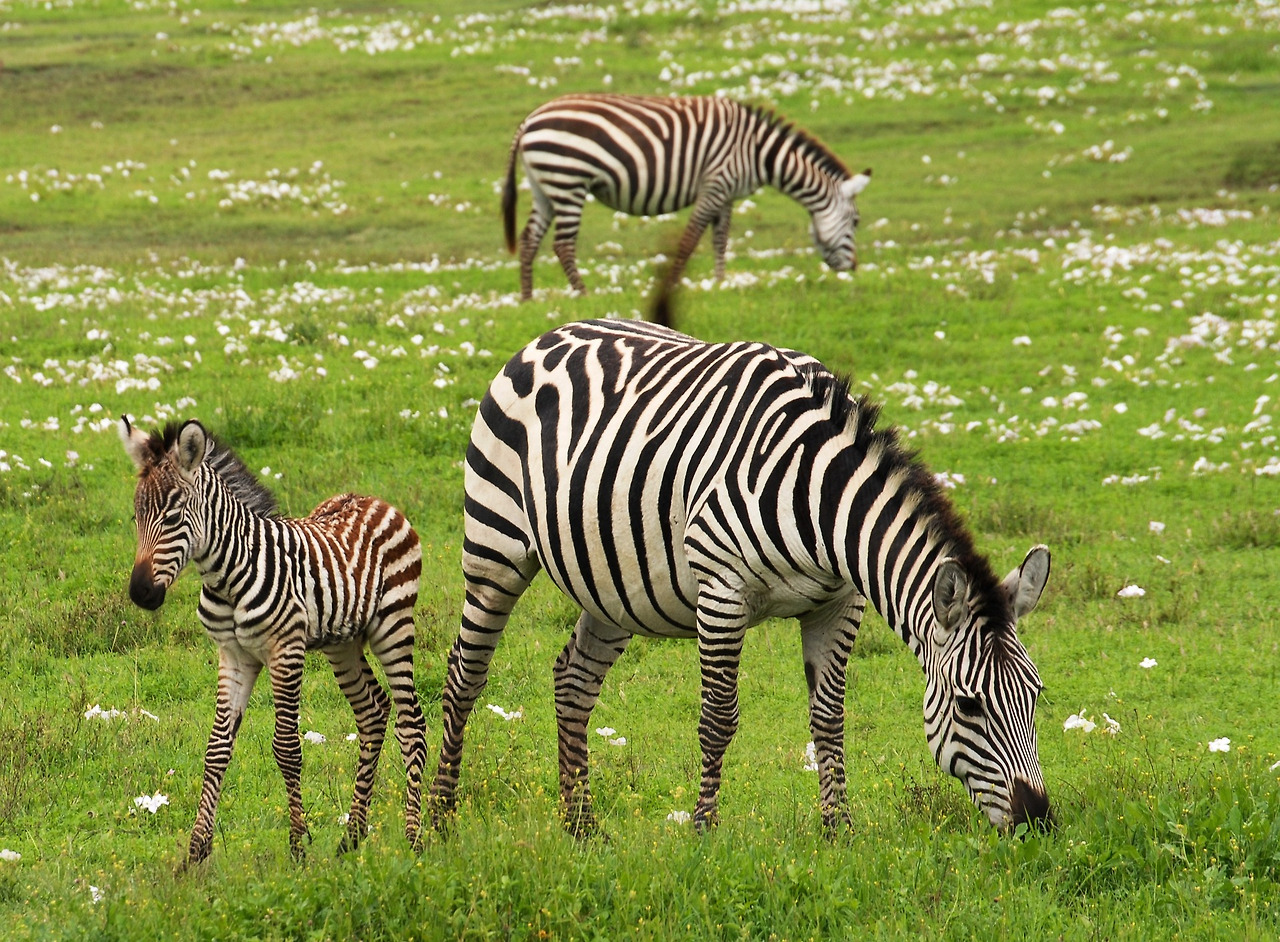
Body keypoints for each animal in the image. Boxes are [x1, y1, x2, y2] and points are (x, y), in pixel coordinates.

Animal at [119, 417, 427, 865]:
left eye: (174, 516)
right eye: (137, 515)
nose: (141, 594)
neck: (228, 575)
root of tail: (374, 499)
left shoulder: (286, 651)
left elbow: (287, 749)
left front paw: (298, 847)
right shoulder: (233, 656)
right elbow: (216, 749)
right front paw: (195, 853)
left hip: (394, 625)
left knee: (411, 722)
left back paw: (415, 838)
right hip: (342, 643)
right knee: (372, 712)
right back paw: (351, 837)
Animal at [431, 318, 1053, 836]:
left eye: (1036, 696)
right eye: (969, 706)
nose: (1038, 821)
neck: (819, 497)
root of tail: (550, 334)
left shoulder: (839, 603)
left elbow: (829, 719)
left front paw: (839, 832)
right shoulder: (722, 591)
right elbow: (718, 719)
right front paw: (704, 830)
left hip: (612, 584)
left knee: (572, 681)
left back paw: (580, 827)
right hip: (495, 547)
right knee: (464, 675)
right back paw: (434, 821)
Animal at [502, 93, 871, 302]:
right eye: (855, 222)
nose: (853, 269)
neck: (759, 152)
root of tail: (528, 120)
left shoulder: (727, 194)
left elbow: (720, 239)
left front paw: (720, 284)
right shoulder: (716, 183)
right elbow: (691, 239)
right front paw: (676, 284)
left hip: (545, 186)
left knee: (529, 238)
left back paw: (527, 298)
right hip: (568, 179)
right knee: (562, 244)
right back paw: (583, 294)